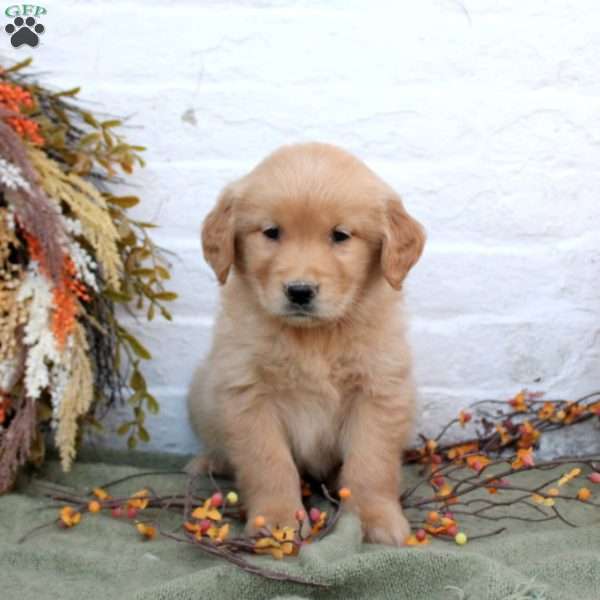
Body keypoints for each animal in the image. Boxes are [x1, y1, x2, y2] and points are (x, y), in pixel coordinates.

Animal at [189, 143, 426, 548]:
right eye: (271, 232)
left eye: (340, 235)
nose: (299, 291)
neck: (314, 337)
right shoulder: (248, 393)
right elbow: (268, 463)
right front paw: (277, 521)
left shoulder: (378, 390)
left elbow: (371, 464)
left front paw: (374, 518)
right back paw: (209, 462)